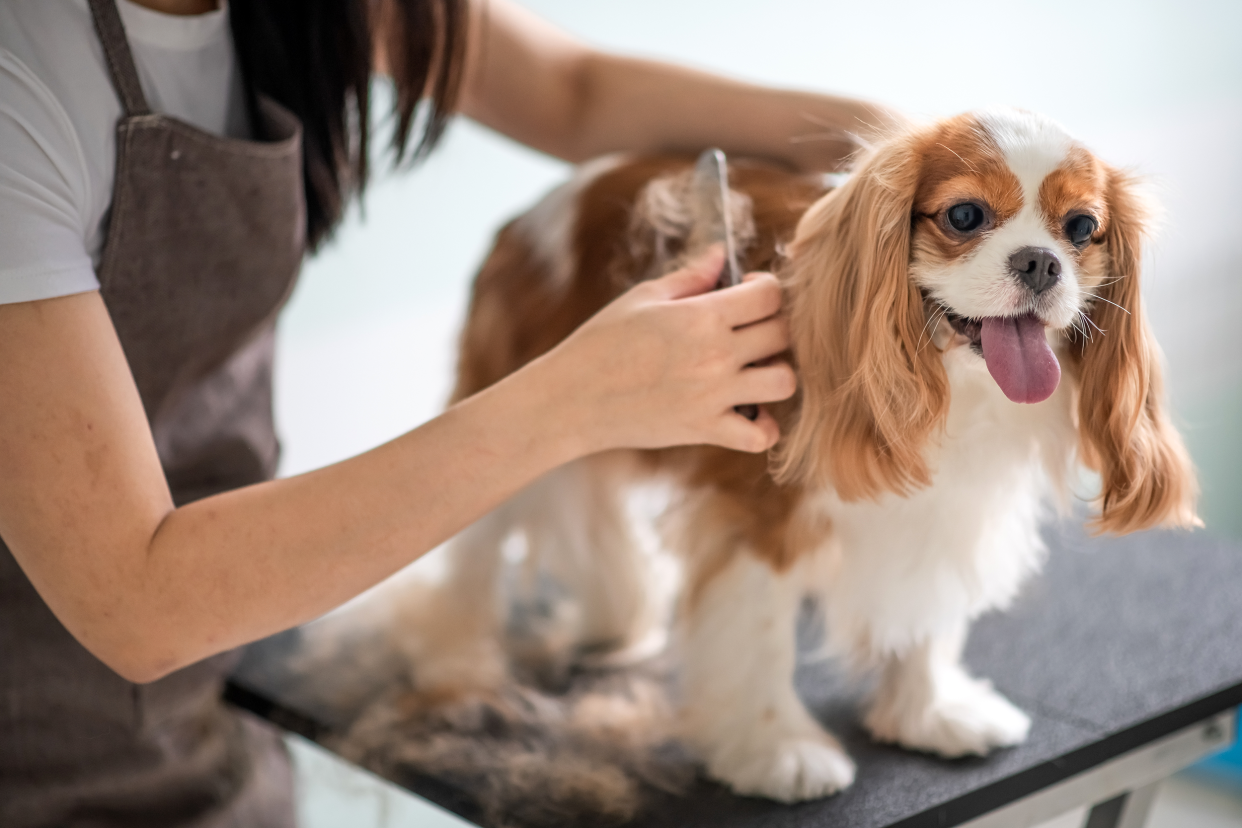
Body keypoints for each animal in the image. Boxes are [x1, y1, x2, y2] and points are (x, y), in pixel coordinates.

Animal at [394, 108, 1192, 804]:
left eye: (1082, 228)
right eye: (965, 217)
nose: (1040, 262)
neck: (952, 387)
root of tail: (531, 213)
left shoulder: (941, 510)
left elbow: (927, 611)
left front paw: (929, 712)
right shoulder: (760, 516)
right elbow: (761, 637)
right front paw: (778, 752)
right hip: (515, 422)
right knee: (472, 553)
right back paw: (458, 668)